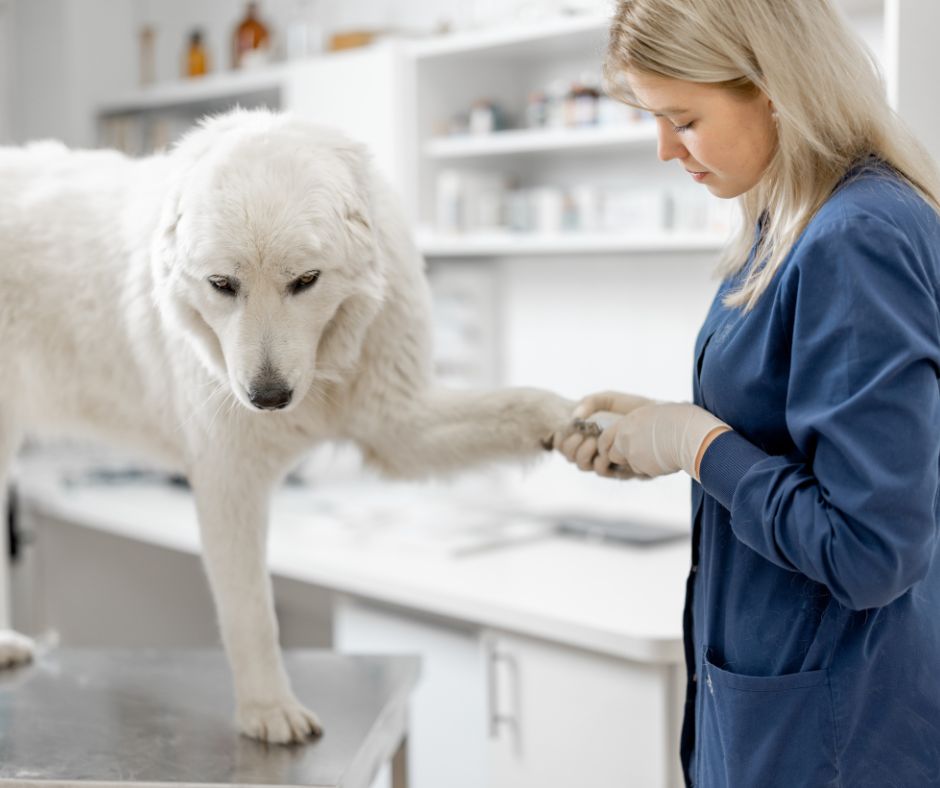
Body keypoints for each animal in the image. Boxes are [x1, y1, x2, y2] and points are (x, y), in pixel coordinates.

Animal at [0, 107, 572, 740]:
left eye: (306, 280)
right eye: (223, 285)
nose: (268, 397)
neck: (326, 363)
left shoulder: (399, 421)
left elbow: (521, 406)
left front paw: (582, 424)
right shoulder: (229, 481)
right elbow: (252, 611)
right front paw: (268, 709)